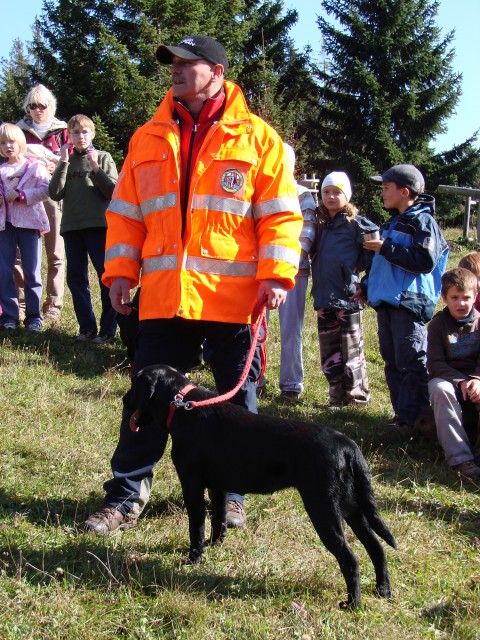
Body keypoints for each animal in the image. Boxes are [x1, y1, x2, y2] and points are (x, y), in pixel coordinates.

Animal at [124, 362, 398, 608]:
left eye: (134, 383)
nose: (125, 402)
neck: (182, 406)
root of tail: (347, 445)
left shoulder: (192, 484)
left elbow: (196, 527)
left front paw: (194, 559)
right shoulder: (218, 486)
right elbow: (218, 521)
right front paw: (215, 546)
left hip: (324, 510)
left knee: (350, 559)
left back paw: (353, 604)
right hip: (352, 507)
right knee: (377, 548)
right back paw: (383, 590)